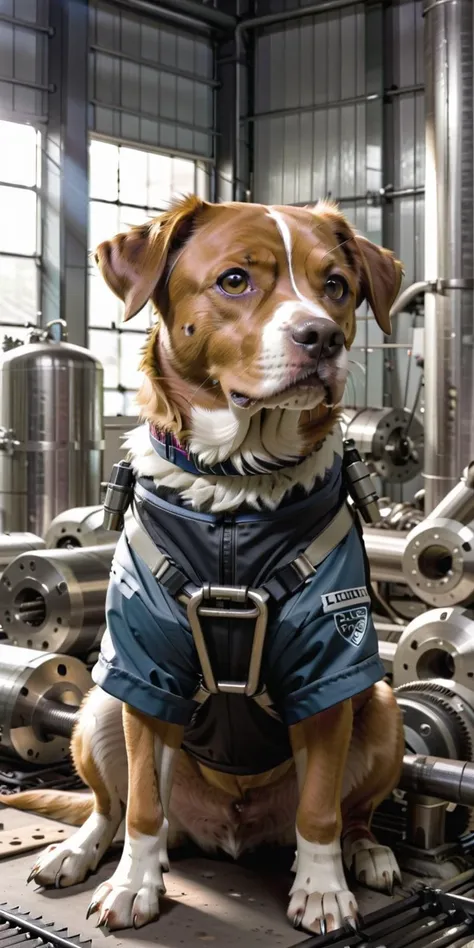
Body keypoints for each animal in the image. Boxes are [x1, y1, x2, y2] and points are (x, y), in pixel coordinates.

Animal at [1, 196, 406, 936]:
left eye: (336, 286)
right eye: (235, 281)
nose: (321, 338)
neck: (235, 496)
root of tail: (228, 828)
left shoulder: (331, 667)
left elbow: (321, 808)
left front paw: (322, 890)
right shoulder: (143, 666)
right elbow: (139, 803)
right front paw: (132, 886)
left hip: (384, 708)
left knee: (353, 811)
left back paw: (366, 854)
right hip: (100, 704)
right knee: (113, 807)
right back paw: (84, 852)